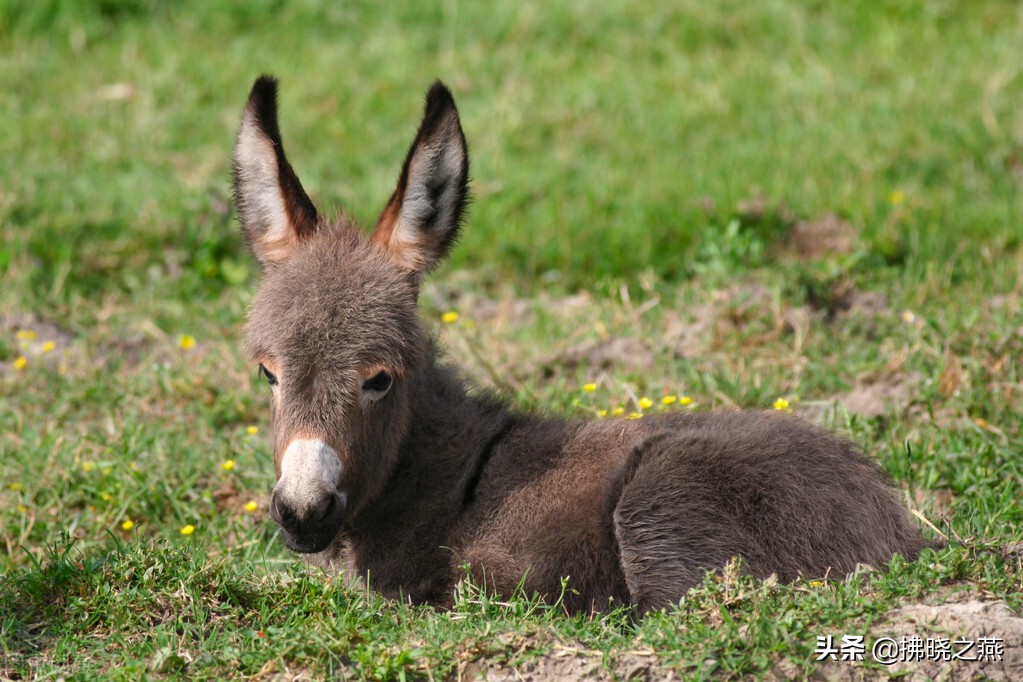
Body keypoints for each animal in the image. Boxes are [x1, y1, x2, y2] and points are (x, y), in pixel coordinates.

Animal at [230, 74, 928, 613]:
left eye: (379, 378)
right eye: (268, 374)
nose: (303, 512)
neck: (446, 478)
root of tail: (901, 525)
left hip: (662, 502)